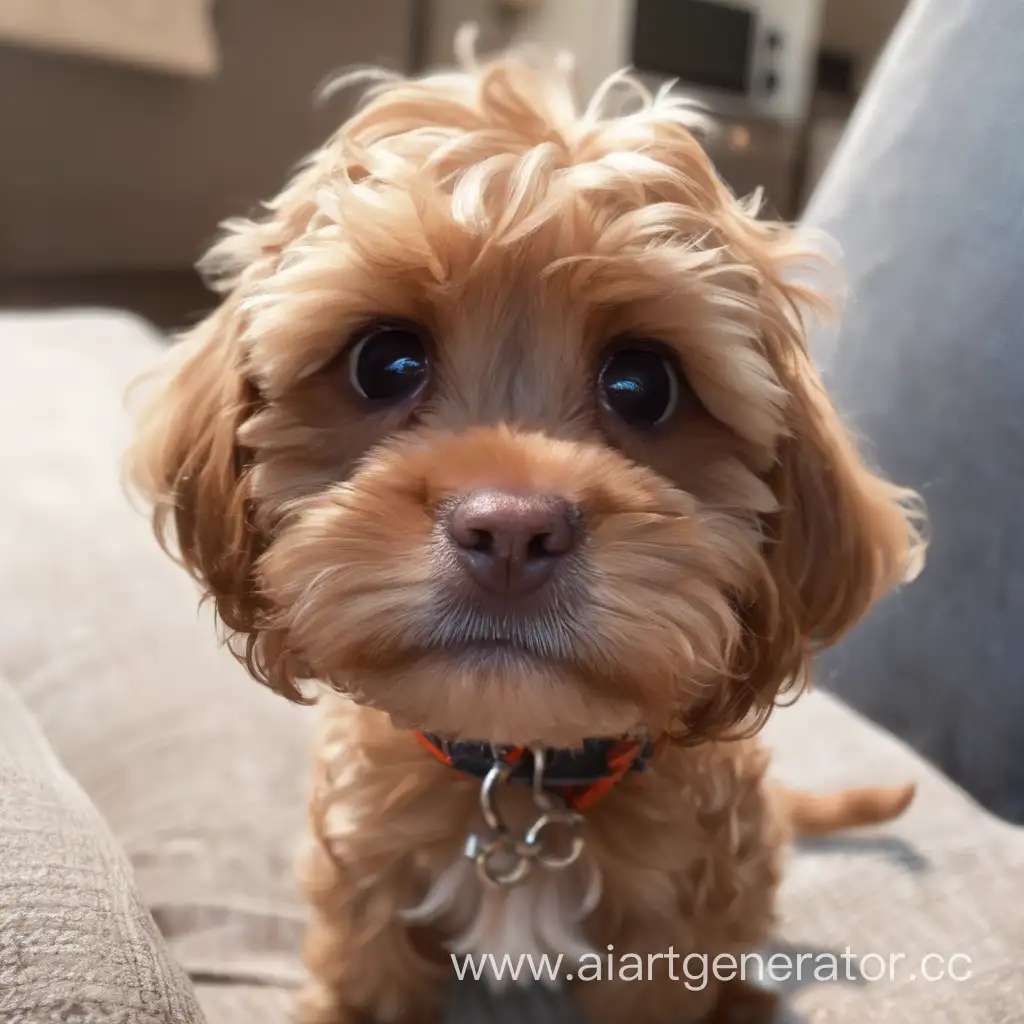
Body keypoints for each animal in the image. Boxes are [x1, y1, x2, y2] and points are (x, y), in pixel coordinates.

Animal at [123, 39, 925, 1024]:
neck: (520, 771)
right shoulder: (365, 889)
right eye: (384, 361)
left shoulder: (670, 936)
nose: (510, 531)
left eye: (644, 384)